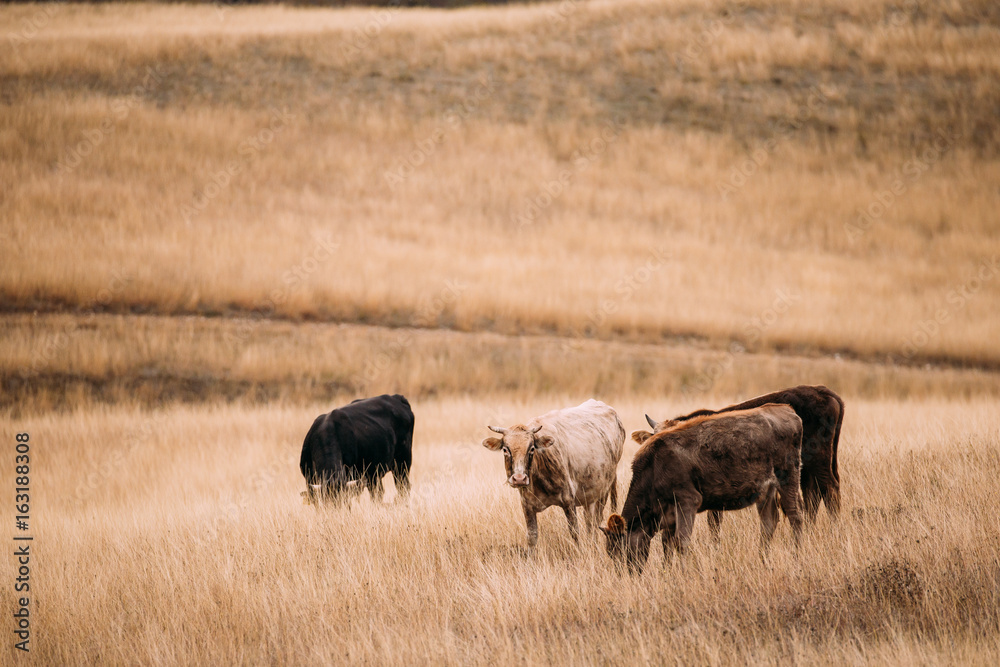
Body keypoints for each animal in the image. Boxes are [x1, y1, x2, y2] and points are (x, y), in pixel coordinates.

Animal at [484, 400, 624, 552]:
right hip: (590, 496)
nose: (519, 479)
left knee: (594, 522)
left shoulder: (568, 501)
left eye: (531, 448)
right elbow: (532, 537)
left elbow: (575, 533)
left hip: (603, 491)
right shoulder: (527, 505)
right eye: (505, 449)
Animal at [600, 404, 804, 576]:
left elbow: (681, 543)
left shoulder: (687, 502)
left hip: (788, 479)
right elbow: (667, 544)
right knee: (768, 523)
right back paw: (763, 560)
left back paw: (797, 557)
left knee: (795, 517)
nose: (625, 576)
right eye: (610, 552)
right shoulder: (669, 514)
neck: (655, 465)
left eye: (622, 549)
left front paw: (683, 574)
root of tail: (788, 411)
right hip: (766, 490)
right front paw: (668, 573)